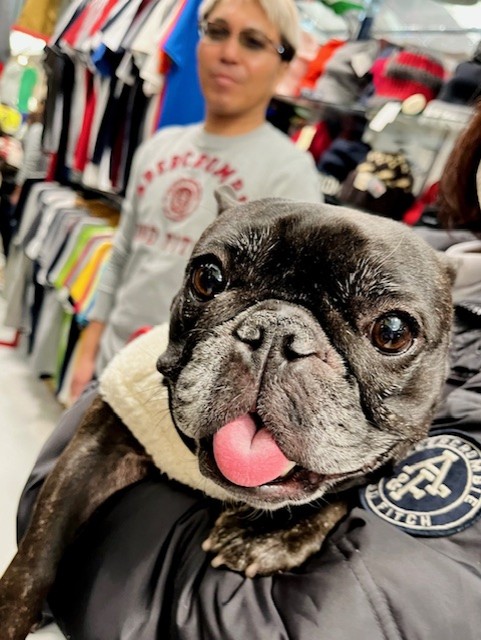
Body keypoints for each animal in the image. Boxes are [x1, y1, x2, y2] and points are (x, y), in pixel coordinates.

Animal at [0, 190, 455, 639]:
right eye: (208, 278)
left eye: (393, 332)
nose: (276, 332)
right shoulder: (97, 445)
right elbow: (39, 550)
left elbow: (346, 492)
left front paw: (264, 534)